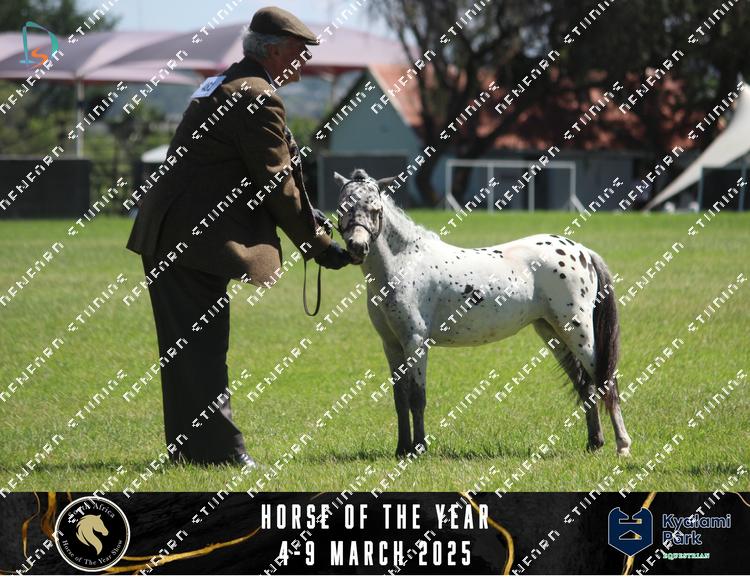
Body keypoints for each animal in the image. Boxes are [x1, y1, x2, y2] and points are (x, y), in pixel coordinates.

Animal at [333, 169, 632, 458]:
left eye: (375, 209)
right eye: (342, 207)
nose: (357, 247)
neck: (407, 262)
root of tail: (582, 251)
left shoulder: (415, 342)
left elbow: (417, 397)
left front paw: (418, 449)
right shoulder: (392, 345)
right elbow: (400, 397)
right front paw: (401, 448)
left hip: (579, 332)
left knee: (606, 381)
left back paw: (622, 446)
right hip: (553, 332)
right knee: (586, 385)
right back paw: (594, 443)